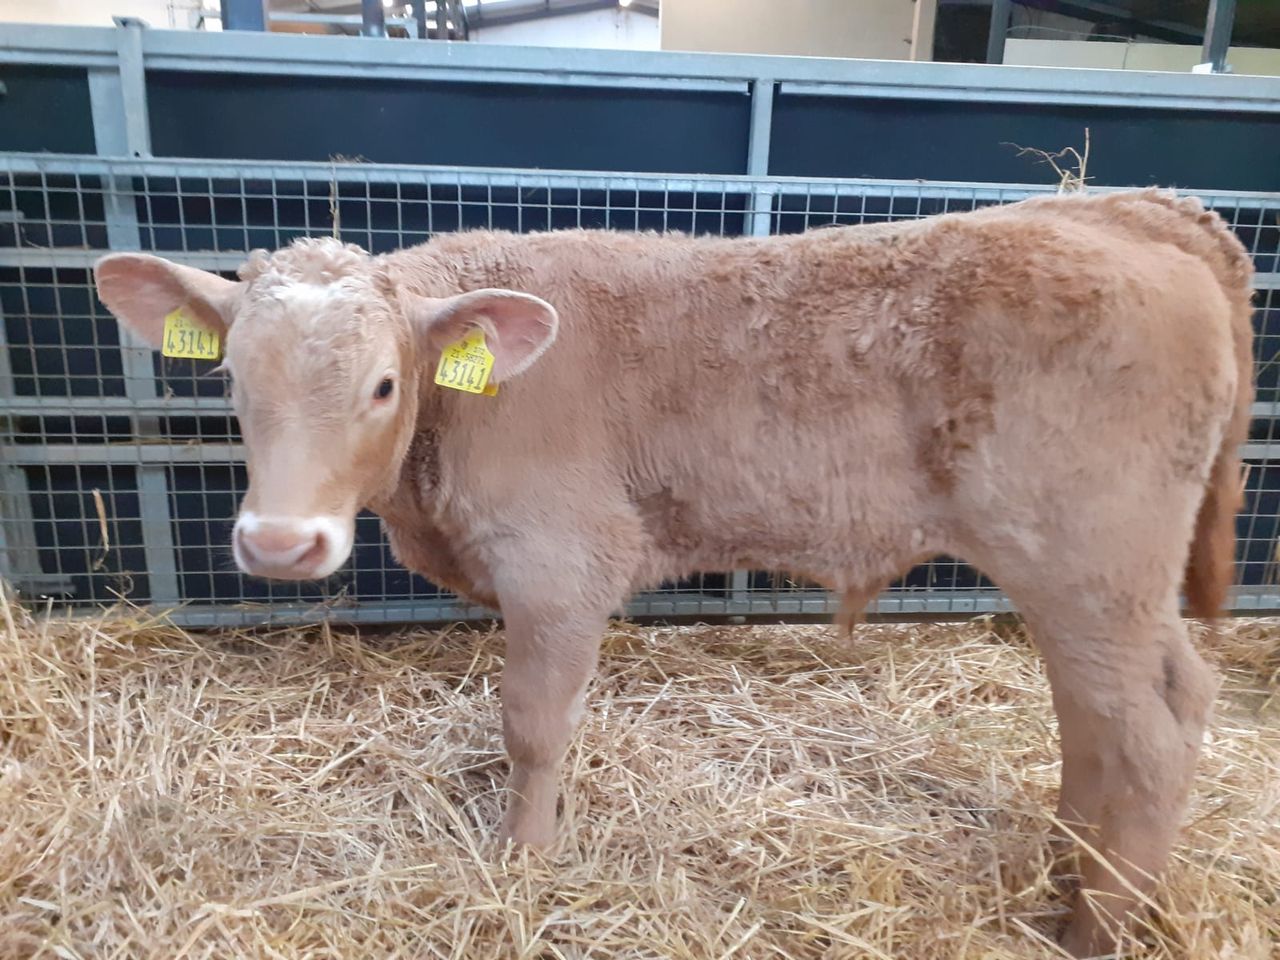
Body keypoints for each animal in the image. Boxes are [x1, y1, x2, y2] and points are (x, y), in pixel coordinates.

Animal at [93, 188, 1255, 957]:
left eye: (383, 384)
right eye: (230, 379)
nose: (279, 544)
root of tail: (1123, 209)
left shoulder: (560, 563)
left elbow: (532, 723)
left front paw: (523, 862)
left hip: (1088, 560)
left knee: (1146, 738)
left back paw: (1094, 924)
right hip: (1098, 583)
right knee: (1133, 706)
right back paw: (1070, 869)